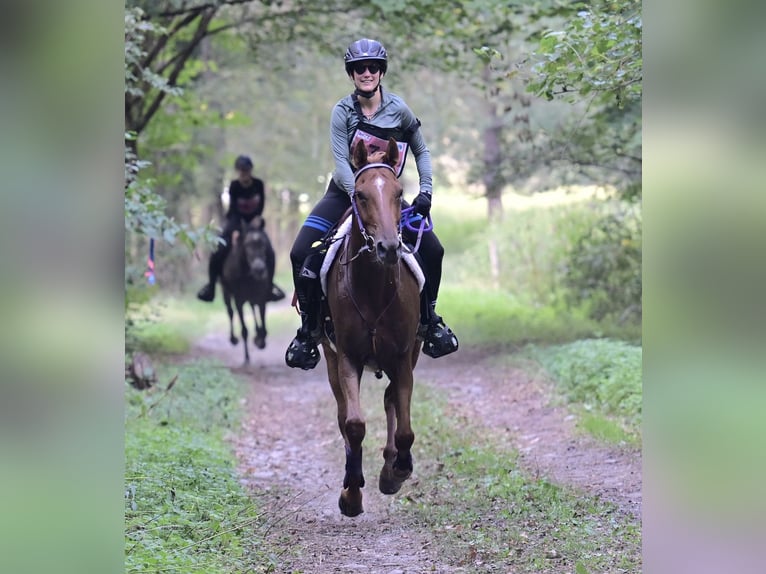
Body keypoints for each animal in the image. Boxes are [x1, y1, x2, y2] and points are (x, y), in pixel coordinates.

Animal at [220, 216, 274, 364]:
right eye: (247, 245)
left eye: (263, 244)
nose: (259, 269)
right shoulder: (239, 300)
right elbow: (244, 329)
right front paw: (247, 358)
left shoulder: (261, 298)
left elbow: (264, 328)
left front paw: (260, 341)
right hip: (226, 294)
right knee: (230, 312)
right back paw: (233, 339)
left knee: (252, 309)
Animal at [320, 138, 424, 516]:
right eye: (361, 195)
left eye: (399, 192)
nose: (389, 247)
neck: (374, 289)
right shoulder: (347, 356)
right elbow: (353, 424)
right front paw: (351, 494)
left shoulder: (403, 355)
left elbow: (404, 426)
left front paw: (397, 470)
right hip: (330, 358)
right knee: (342, 414)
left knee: (391, 398)